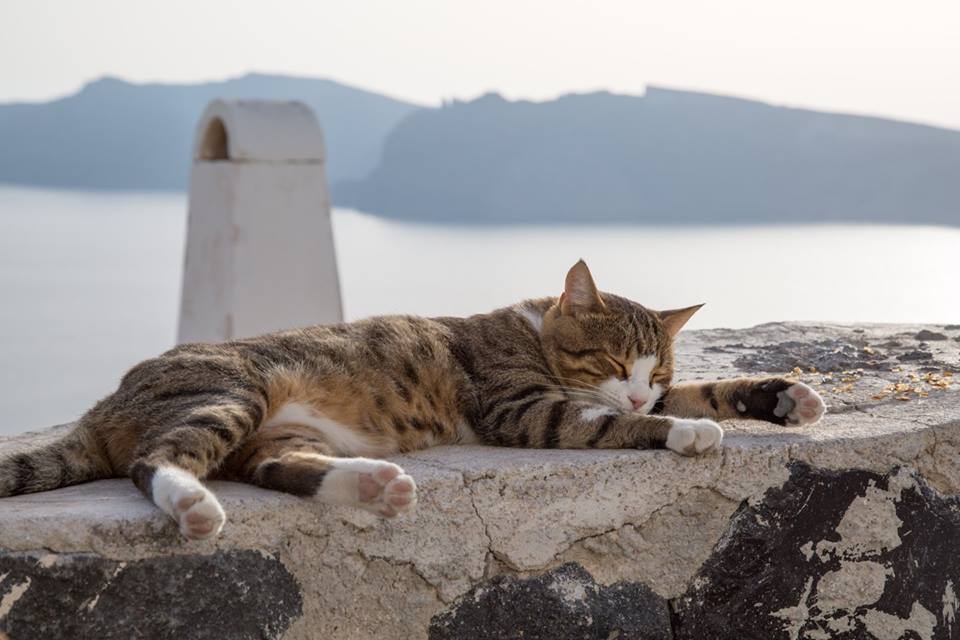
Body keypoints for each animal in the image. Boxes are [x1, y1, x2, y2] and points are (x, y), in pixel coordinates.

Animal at [0, 260, 824, 540]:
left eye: (656, 370)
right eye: (616, 359)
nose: (636, 388)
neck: (533, 331)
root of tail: (106, 404)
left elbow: (699, 393)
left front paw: (782, 397)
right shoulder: (521, 406)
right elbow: (604, 422)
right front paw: (686, 433)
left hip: (274, 431)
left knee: (274, 466)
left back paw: (375, 486)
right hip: (232, 391)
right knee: (156, 460)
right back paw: (193, 506)